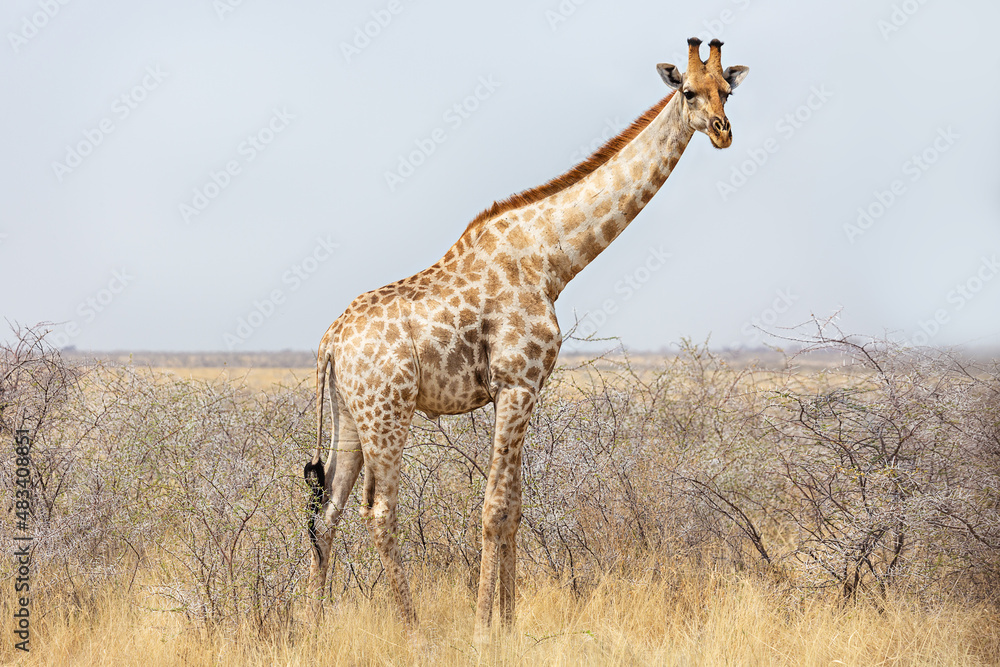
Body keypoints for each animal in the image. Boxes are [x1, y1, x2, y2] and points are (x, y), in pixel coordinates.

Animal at [304, 37, 749, 638]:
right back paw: (413, 630)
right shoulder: (516, 384)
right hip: (387, 410)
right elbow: (493, 508)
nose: (723, 131)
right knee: (378, 512)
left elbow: (514, 506)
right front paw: (481, 629)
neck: (552, 259)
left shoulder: (524, 391)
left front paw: (509, 625)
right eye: (688, 92)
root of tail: (330, 340)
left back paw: (309, 624)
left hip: (349, 414)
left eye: (727, 89)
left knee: (327, 512)